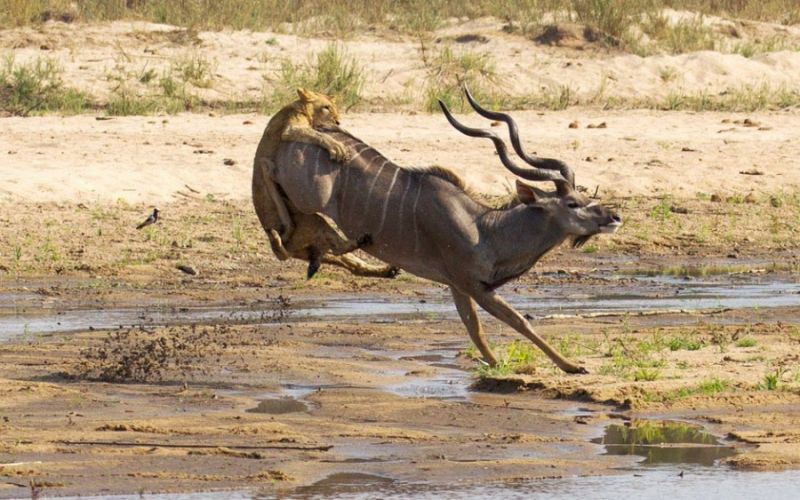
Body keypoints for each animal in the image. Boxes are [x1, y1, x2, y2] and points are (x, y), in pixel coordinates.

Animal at [272, 88, 620, 374]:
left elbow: (474, 328)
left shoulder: (457, 286)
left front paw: (495, 364)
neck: (486, 229)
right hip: (304, 195)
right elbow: (518, 321)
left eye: (584, 196)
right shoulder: (474, 284)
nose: (614, 216)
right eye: (573, 203)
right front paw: (572, 366)